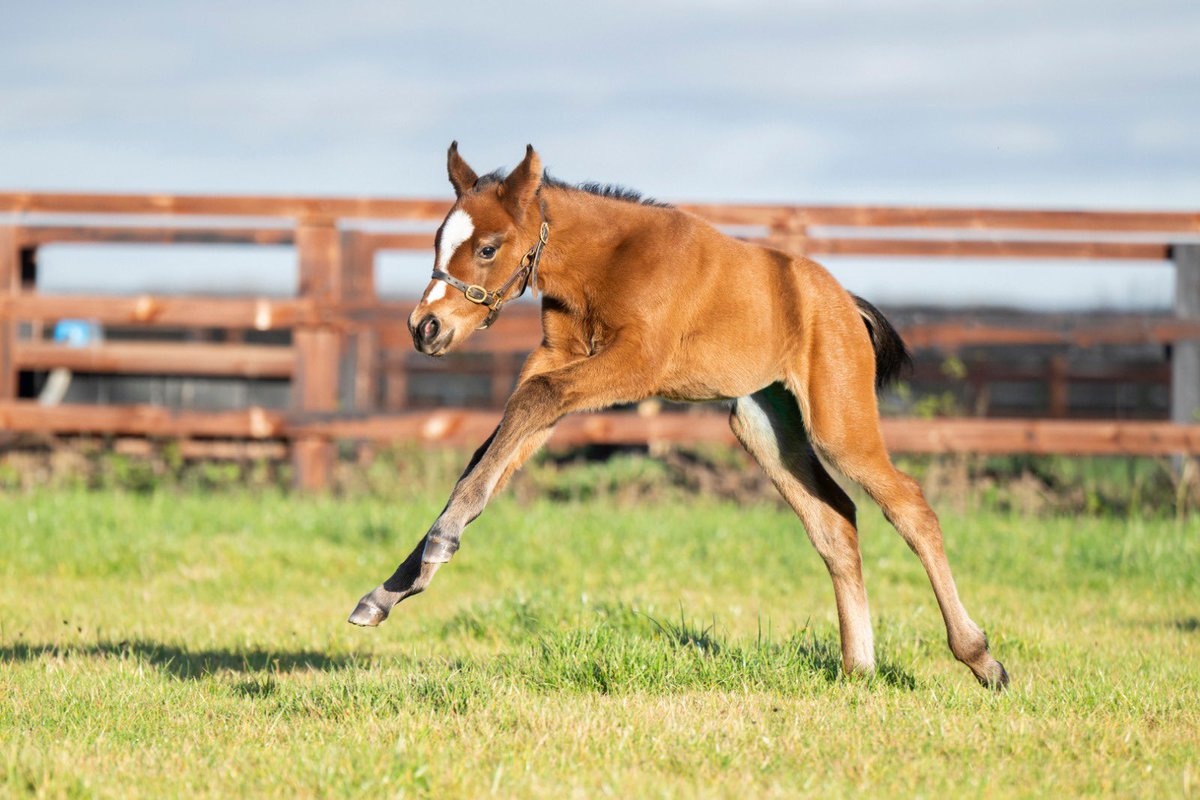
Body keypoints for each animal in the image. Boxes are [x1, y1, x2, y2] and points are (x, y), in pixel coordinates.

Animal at [348, 142, 1008, 689]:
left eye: (487, 248)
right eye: (438, 242)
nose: (425, 328)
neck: (607, 263)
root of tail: (843, 302)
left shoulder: (635, 364)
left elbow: (529, 409)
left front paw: (437, 546)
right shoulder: (554, 360)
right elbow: (495, 447)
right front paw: (392, 589)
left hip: (837, 423)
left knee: (909, 507)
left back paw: (980, 658)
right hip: (764, 427)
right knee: (835, 522)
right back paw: (858, 668)